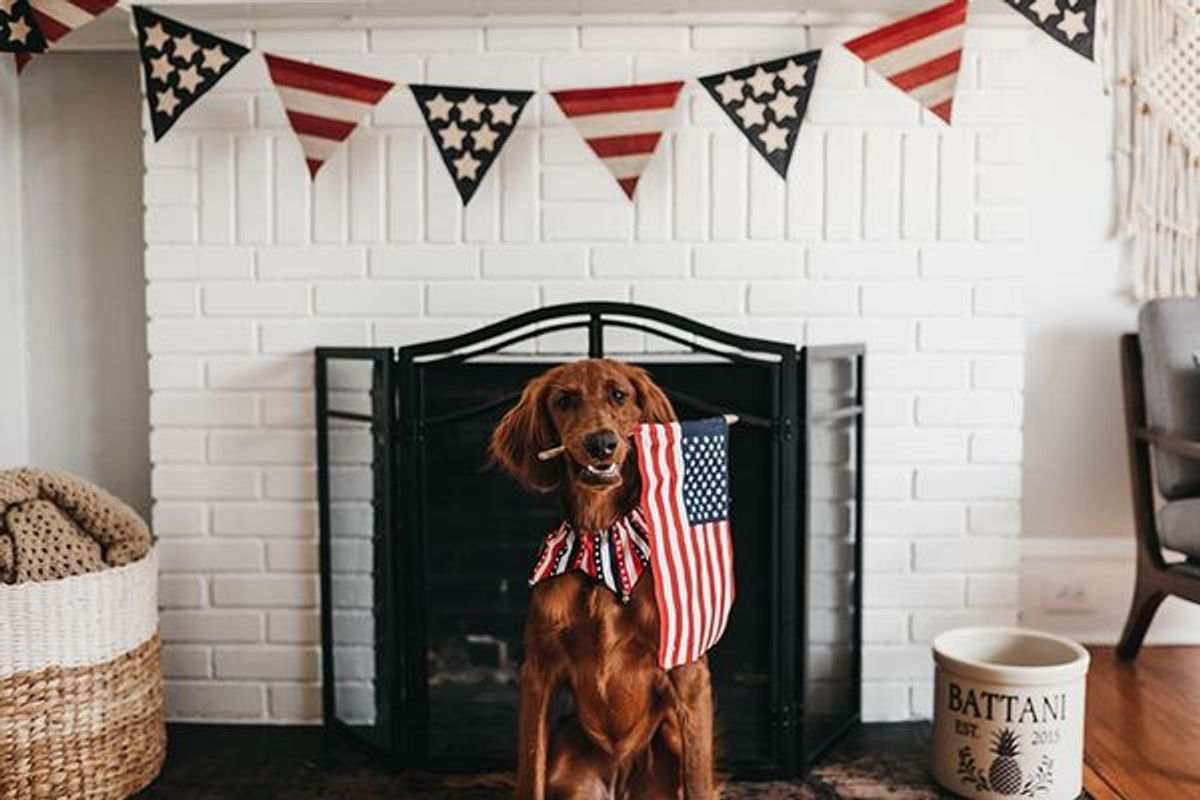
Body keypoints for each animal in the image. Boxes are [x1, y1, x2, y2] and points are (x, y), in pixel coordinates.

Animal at [487, 359, 710, 796]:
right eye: (564, 400)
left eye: (619, 395)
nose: (601, 444)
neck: (601, 542)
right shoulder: (538, 672)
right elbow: (530, 772)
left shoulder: (688, 673)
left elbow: (698, 781)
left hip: (668, 737)